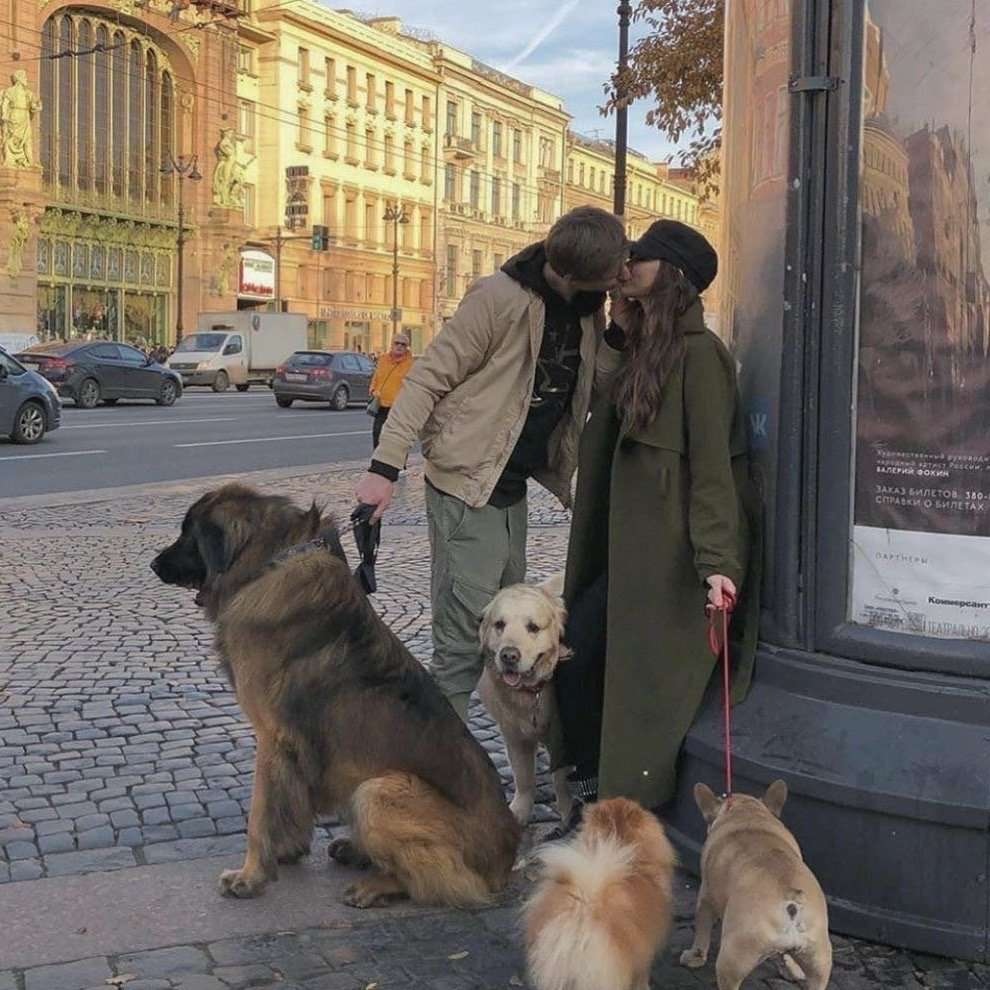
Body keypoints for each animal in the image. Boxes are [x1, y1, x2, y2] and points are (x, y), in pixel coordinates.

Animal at [151, 484, 524, 912]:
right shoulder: (290, 746)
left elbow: (259, 815)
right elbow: (291, 800)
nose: (154, 564)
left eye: (187, 535)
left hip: (376, 792)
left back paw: (373, 884)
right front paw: (288, 851)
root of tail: (506, 858)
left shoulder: (271, 736)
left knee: (437, 878)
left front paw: (250, 876)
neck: (269, 562)